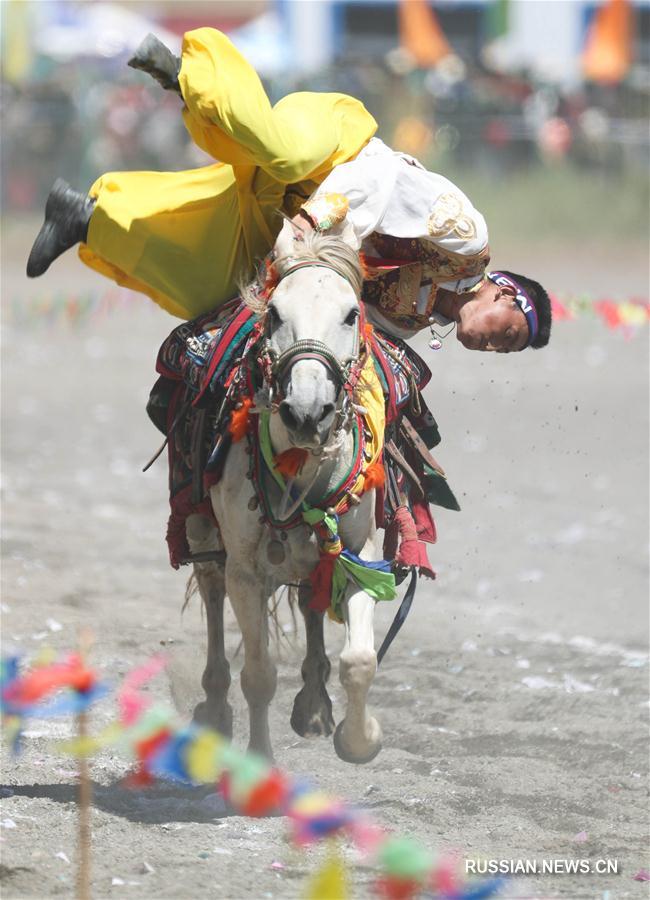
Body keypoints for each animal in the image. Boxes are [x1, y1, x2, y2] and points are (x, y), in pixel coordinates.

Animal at [185, 221, 382, 764]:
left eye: (351, 313)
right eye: (274, 313)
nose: (307, 413)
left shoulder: (360, 553)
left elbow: (360, 660)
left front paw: (361, 740)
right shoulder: (246, 572)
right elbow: (258, 674)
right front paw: (259, 762)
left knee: (313, 603)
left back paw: (314, 705)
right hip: (202, 533)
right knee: (211, 595)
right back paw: (214, 707)